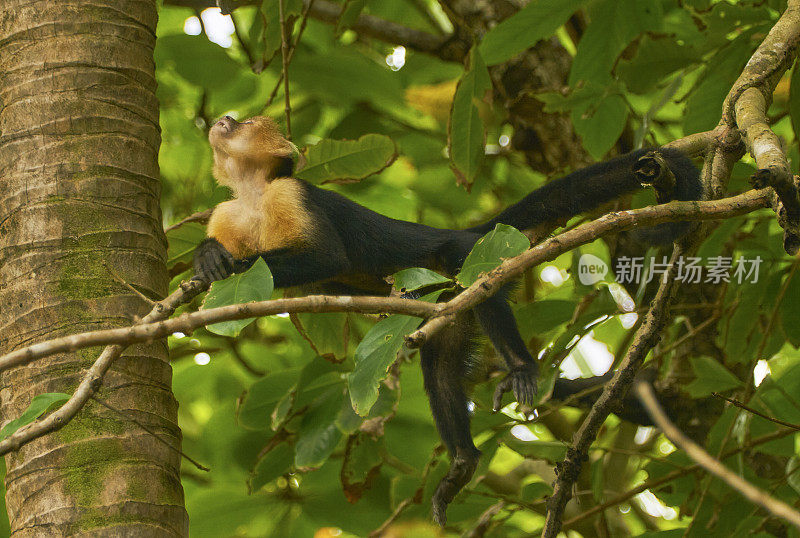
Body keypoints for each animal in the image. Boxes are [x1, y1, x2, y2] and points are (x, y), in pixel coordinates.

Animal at [192, 114, 700, 524]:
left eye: (243, 123)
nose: (223, 119)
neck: (254, 193)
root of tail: (464, 234)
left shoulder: (291, 194)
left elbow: (326, 256)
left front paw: (229, 265)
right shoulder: (225, 213)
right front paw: (206, 259)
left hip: (466, 257)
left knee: (486, 292)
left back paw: (522, 368)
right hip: (446, 306)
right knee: (439, 369)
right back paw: (462, 464)